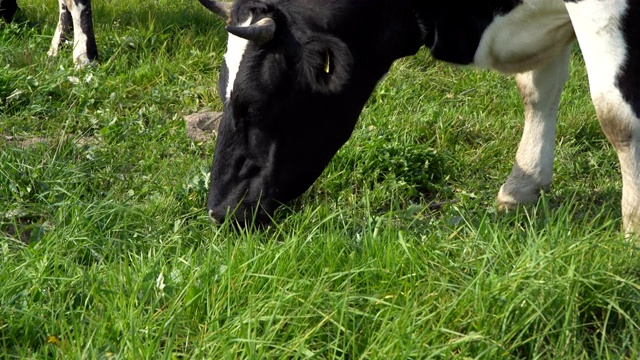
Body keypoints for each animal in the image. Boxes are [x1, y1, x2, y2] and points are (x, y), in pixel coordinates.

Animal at [200, 0, 640, 236]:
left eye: (256, 105)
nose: (219, 211)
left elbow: (615, 117)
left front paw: (633, 229)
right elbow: (536, 92)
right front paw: (522, 184)